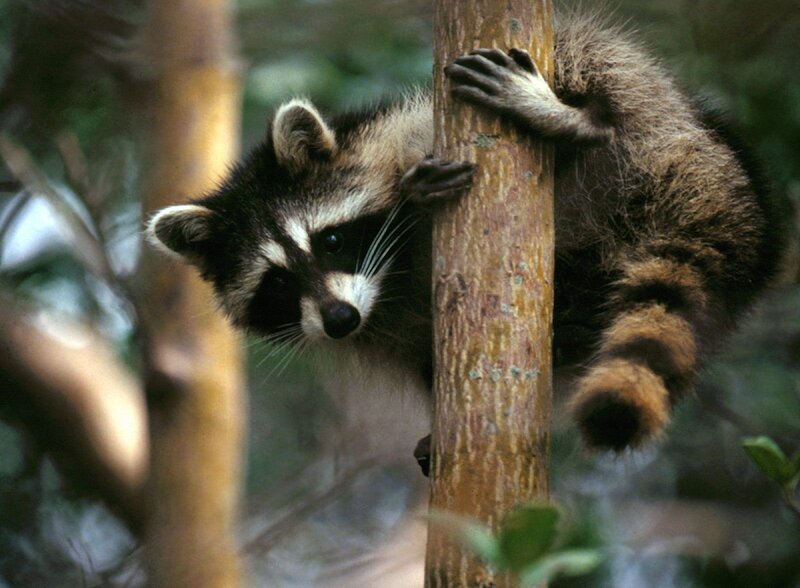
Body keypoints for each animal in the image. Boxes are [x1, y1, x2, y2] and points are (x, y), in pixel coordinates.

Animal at [146, 13, 787, 456]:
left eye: (329, 241)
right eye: (277, 282)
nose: (339, 321)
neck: (389, 283)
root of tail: (723, 181)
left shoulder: (405, 130)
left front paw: (412, 199)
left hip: (656, 121)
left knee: (592, 59)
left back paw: (578, 124)